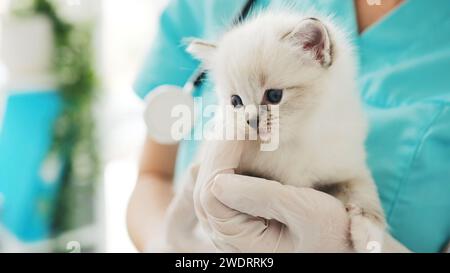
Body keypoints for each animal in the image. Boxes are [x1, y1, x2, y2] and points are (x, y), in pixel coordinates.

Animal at [171, 11, 384, 252]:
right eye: (236, 101)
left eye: (274, 96)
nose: (251, 121)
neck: (292, 143)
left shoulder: (350, 168)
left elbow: (365, 192)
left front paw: (370, 237)